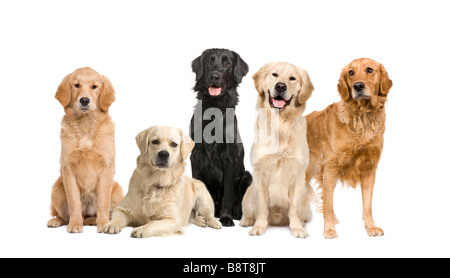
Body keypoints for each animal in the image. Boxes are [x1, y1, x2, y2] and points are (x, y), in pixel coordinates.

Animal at [47, 67, 123, 232]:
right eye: (76, 85)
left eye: (94, 86)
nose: (84, 100)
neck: (85, 124)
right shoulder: (68, 168)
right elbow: (74, 202)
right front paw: (75, 224)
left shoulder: (106, 167)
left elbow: (103, 202)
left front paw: (103, 224)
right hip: (57, 189)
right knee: (63, 215)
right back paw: (56, 220)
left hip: (117, 189)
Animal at [189, 47, 253, 226]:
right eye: (209, 61)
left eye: (227, 63)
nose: (214, 76)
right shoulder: (195, 155)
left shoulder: (229, 158)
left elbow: (228, 193)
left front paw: (226, 217)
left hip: (247, 176)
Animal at [241, 61, 314, 237]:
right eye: (274, 74)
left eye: (292, 78)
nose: (281, 86)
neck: (281, 125)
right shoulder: (259, 174)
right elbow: (261, 207)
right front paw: (259, 226)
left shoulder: (298, 175)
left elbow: (293, 208)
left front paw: (297, 228)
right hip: (248, 192)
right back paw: (247, 220)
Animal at [308, 57, 392, 238]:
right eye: (350, 72)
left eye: (369, 70)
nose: (358, 86)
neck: (362, 117)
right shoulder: (330, 168)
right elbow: (328, 203)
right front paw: (329, 229)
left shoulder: (369, 169)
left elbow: (367, 205)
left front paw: (371, 227)